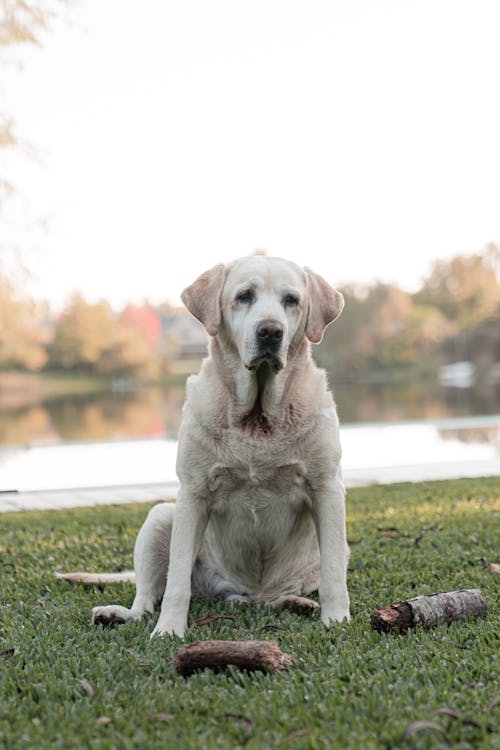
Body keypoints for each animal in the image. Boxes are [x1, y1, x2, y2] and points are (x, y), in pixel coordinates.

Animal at [92, 256, 350, 636]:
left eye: (292, 300)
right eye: (244, 296)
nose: (270, 331)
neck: (257, 418)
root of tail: (250, 596)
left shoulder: (327, 489)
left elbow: (334, 576)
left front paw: (337, 620)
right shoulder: (192, 494)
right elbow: (176, 581)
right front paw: (169, 629)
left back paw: (296, 602)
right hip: (160, 518)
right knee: (146, 596)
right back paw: (118, 614)